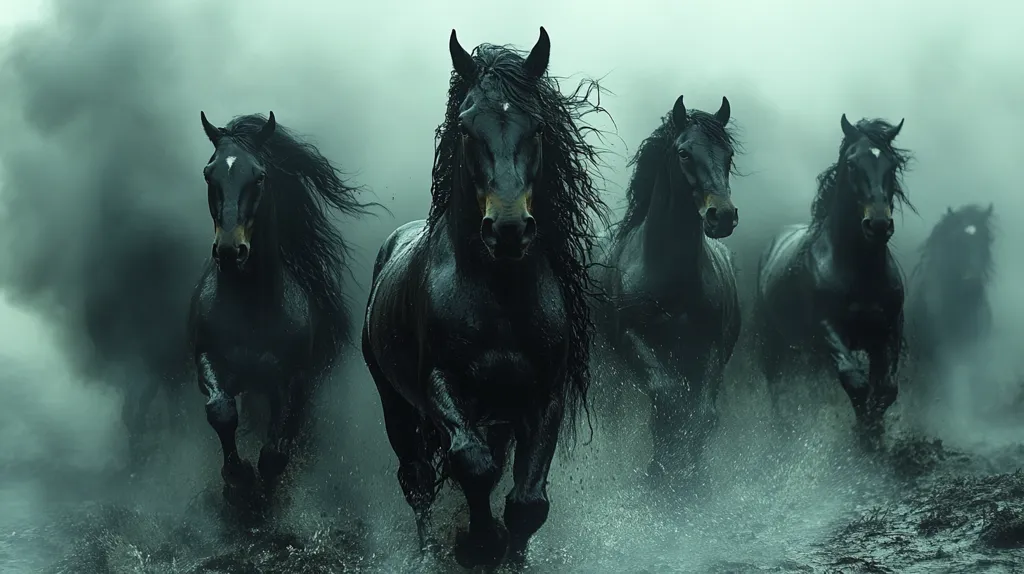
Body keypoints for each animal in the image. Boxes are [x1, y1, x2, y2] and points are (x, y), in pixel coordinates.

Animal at [189, 111, 368, 513]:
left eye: (259, 176)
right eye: (209, 173)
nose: (229, 251)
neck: (249, 310)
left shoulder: (293, 377)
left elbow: (278, 445)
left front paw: (264, 480)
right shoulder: (207, 361)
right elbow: (221, 412)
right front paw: (237, 475)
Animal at [361, 27, 609, 568]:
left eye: (537, 126)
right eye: (465, 127)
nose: (510, 229)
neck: (500, 298)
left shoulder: (544, 397)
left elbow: (528, 502)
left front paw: (511, 556)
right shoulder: (440, 384)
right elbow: (472, 466)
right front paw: (478, 545)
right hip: (397, 405)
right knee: (418, 482)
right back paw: (428, 553)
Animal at [590, 94, 741, 487]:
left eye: (729, 153)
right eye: (684, 153)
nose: (723, 216)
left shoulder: (709, 346)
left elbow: (702, 413)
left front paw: (691, 477)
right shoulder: (631, 337)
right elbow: (666, 400)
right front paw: (659, 474)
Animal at [753, 114, 912, 452]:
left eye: (891, 164)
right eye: (851, 163)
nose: (878, 224)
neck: (860, 270)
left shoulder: (889, 329)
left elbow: (886, 388)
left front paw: (875, 434)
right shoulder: (827, 327)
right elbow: (855, 380)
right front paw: (862, 437)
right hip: (773, 343)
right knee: (777, 388)